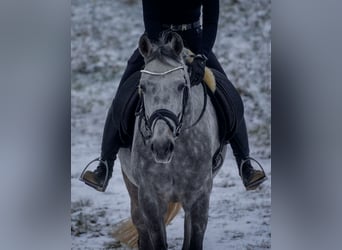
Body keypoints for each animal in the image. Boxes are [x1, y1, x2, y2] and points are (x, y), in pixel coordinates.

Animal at [118, 32, 227, 250]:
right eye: (143, 86)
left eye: (181, 86)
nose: (162, 147)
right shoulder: (150, 198)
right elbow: (158, 241)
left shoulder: (199, 197)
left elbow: (194, 240)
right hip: (132, 188)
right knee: (141, 228)